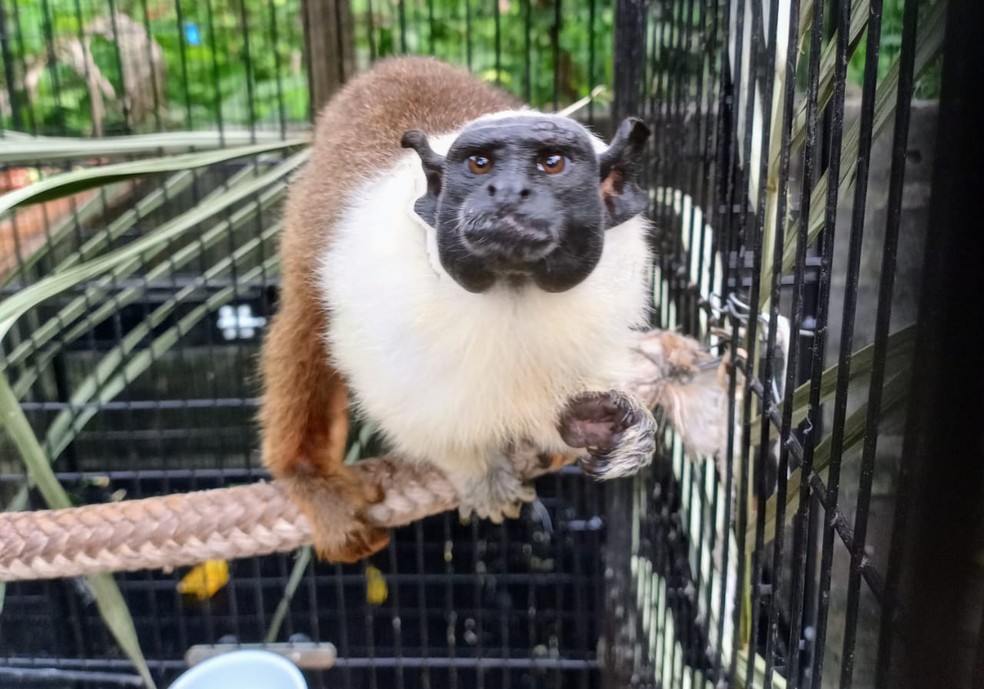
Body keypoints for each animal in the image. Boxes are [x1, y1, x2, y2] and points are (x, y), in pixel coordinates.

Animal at [262, 57, 660, 564]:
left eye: (552, 164)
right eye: (479, 164)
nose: (506, 192)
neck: (513, 295)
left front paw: (597, 424)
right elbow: (415, 412)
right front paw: (476, 471)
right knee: (304, 324)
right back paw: (309, 476)